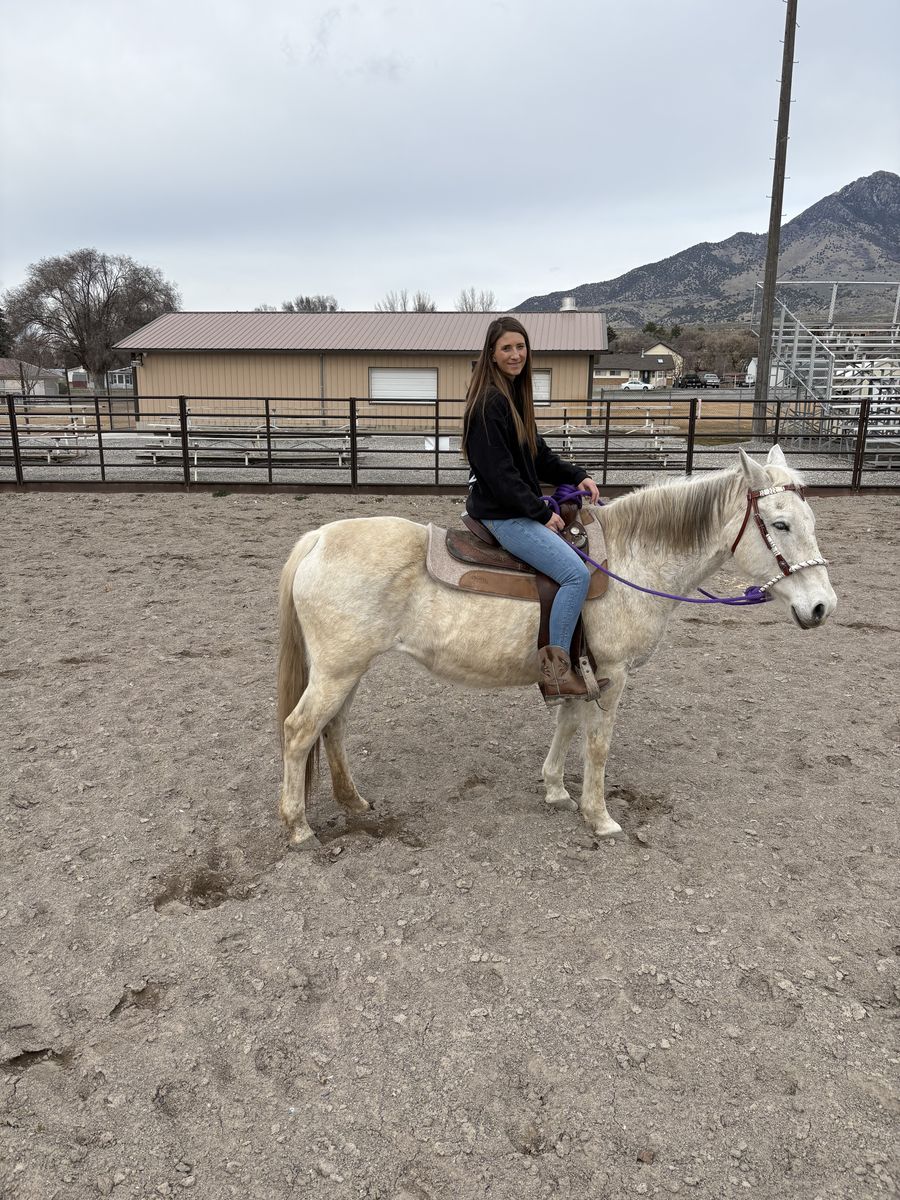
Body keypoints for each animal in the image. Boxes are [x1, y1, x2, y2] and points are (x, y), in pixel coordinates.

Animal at [276, 445, 836, 848]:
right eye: (780, 524)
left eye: (811, 523)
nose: (822, 607)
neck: (632, 559)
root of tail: (318, 539)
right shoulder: (614, 673)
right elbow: (597, 744)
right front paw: (600, 817)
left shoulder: (575, 666)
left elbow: (566, 724)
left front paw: (555, 790)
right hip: (337, 670)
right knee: (300, 730)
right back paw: (299, 827)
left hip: (348, 669)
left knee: (333, 728)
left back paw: (353, 803)